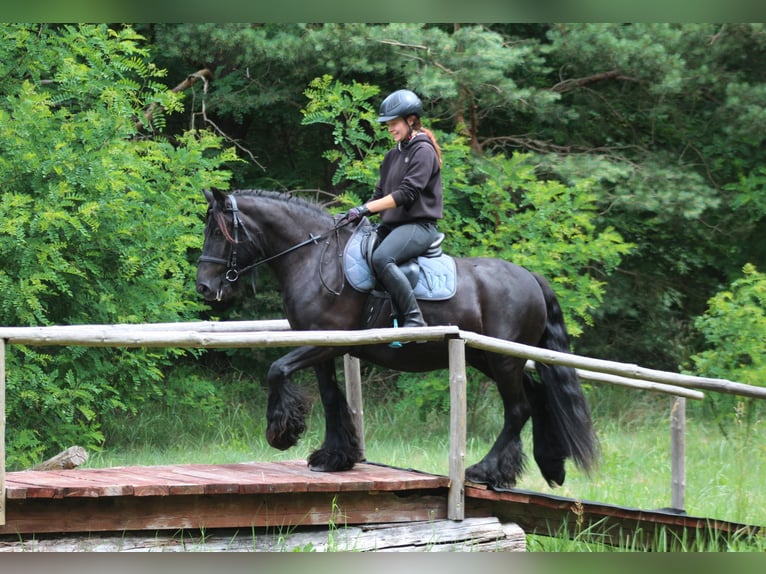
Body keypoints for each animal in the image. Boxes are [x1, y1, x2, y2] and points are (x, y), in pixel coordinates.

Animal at [194, 189, 600, 490]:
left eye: (218, 232)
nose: (204, 287)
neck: (313, 257)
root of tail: (531, 277)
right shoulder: (321, 346)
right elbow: (329, 397)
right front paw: (334, 456)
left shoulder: (330, 343)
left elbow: (277, 370)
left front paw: (282, 433)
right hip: (489, 358)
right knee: (536, 395)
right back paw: (549, 465)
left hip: (503, 361)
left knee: (518, 409)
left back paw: (486, 471)